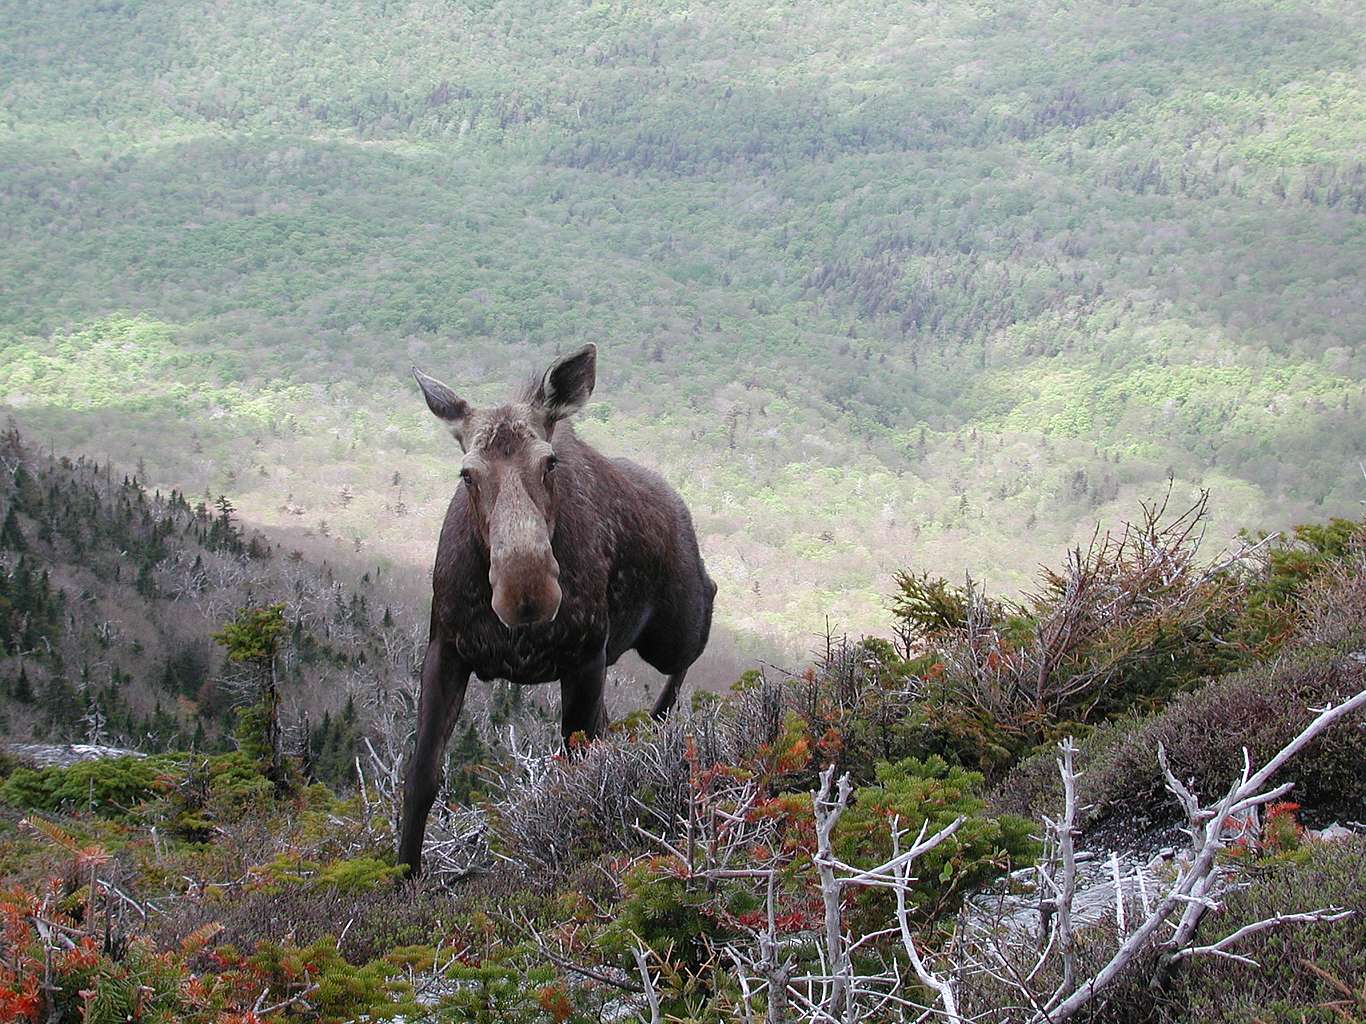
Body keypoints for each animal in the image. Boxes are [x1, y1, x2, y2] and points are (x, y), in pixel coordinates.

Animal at [398, 349, 715, 879]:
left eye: (549, 462)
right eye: (467, 473)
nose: (526, 592)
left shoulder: (584, 655)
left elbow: (578, 770)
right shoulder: (446, 650)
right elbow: (421, 775)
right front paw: (404, 873)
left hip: (672, 630)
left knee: (704, 615)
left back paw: (658, 722)